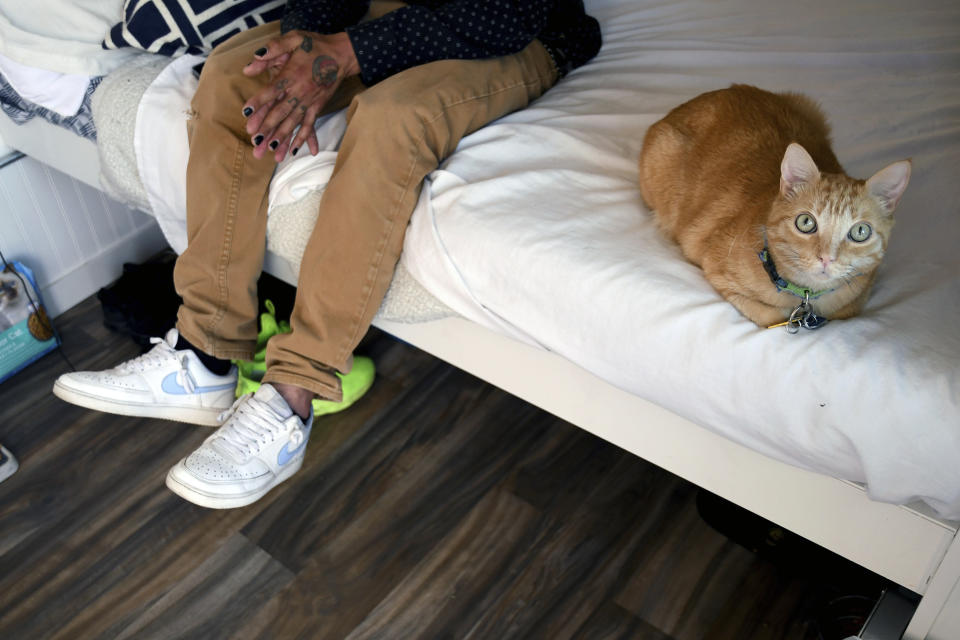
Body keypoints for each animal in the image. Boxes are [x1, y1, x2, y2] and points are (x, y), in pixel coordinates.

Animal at [640, 83, 912, 328]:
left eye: (860, 232)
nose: (826, 258)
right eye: (806, 222)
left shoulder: (855, 302)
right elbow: (768, 316)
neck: (806, 300)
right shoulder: (716, 270)